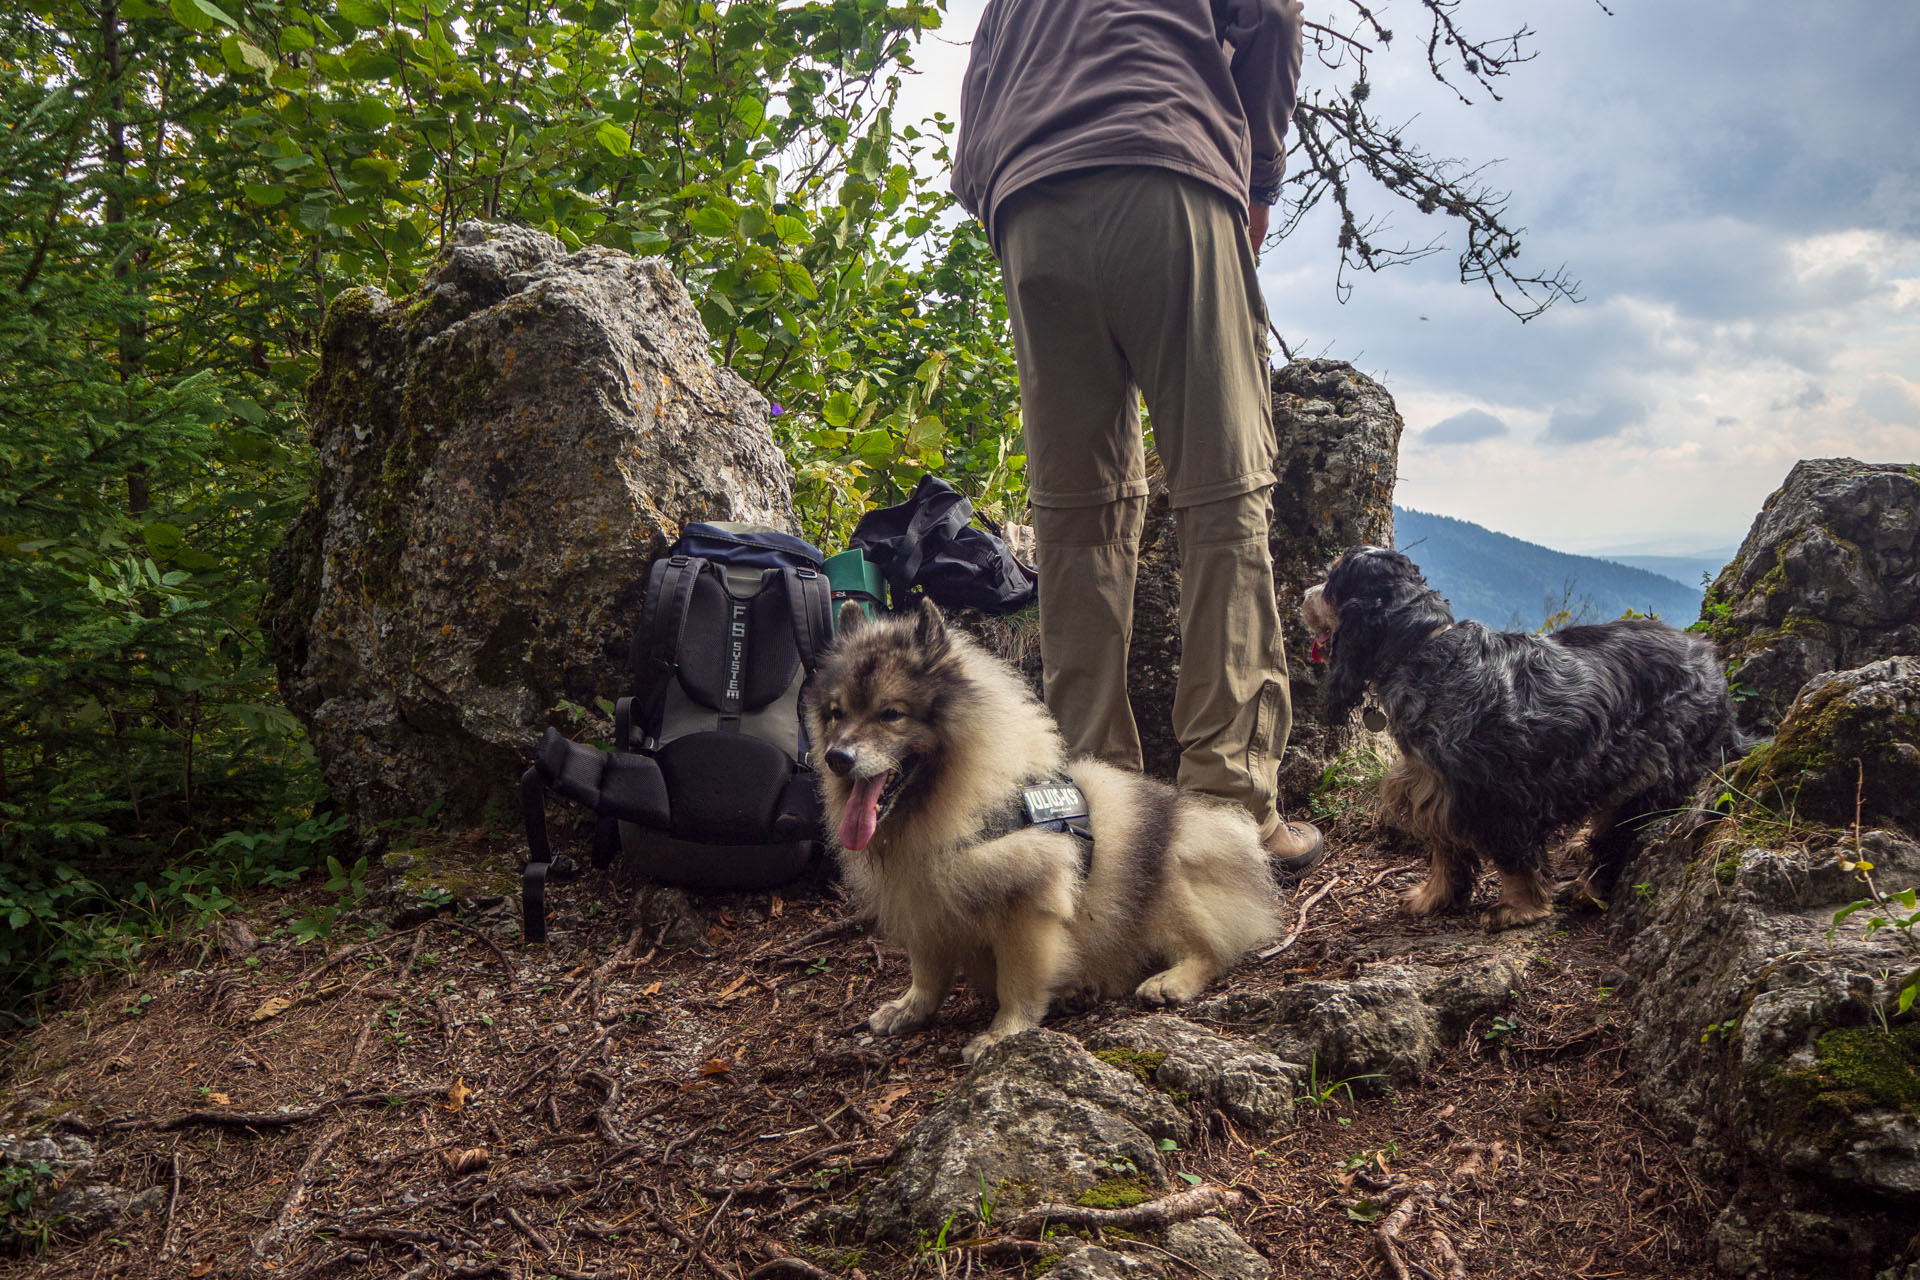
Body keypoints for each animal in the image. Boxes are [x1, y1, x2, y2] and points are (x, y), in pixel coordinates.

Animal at [802, 598, 1282, 1059]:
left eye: (891, 714)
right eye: (836, 714)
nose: (836, 757)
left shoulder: (1025, 902)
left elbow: (1017, 980)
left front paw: (1004, 1034)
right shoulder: (925, 902)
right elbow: (927, 973)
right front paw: (910, 1009)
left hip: (1173, 876)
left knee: (1212, 949)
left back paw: (1170, 981)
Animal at [1305, 545, 1743, 924]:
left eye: (1330, 581)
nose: (1304, 596)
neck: (1424, 650)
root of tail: (1708, 656)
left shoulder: (1497, 797)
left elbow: (1514, 859)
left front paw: (1519, 909)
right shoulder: (1436, 787)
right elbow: (1445, 852)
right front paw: (1433, 897)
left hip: (1653, 762)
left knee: (1619, 833)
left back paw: (1587, 884)